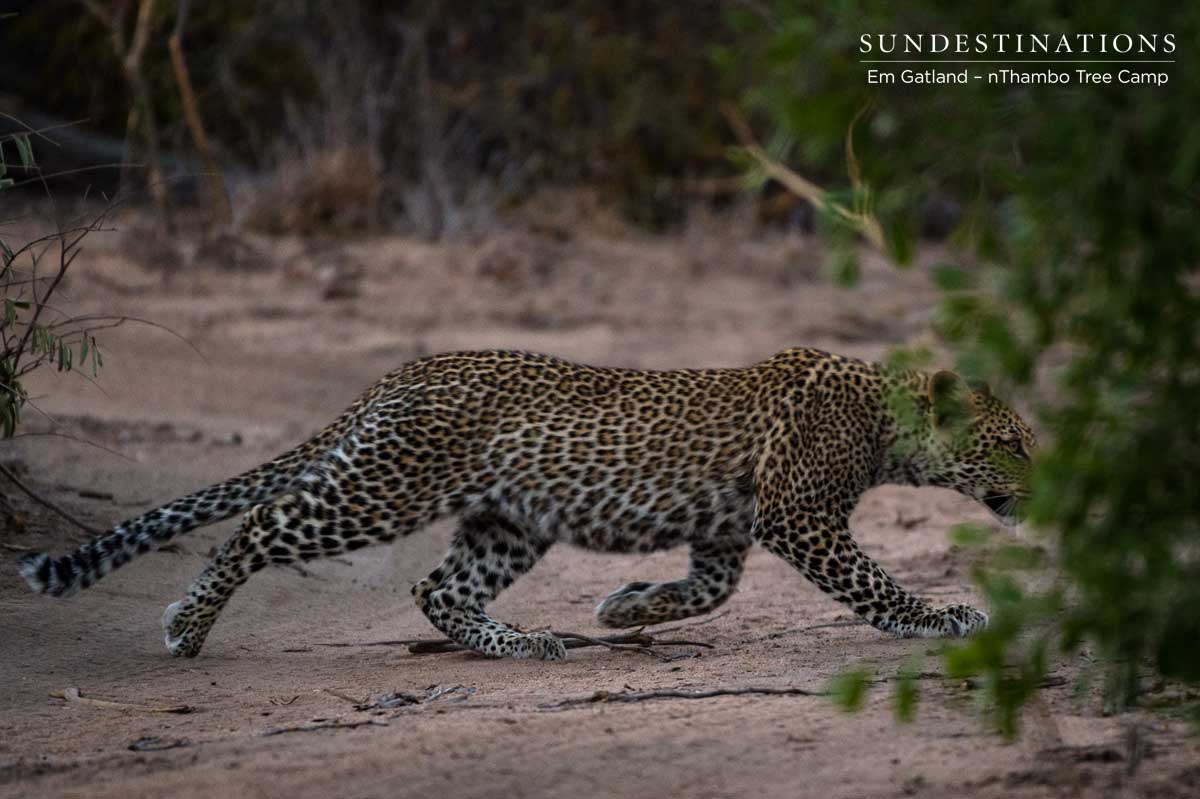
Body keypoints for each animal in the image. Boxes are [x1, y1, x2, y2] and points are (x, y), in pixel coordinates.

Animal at [16, 345, 1032, 657]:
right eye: (1013, 441)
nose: (1036, 488)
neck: (887, 419)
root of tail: (407, 369)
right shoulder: (800, 517)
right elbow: (874, 583)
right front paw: (944, 616)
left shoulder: (728, 529)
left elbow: (711, 588)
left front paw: (624, 608)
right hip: (382, 487)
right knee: (260, 525)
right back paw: (186, 626)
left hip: (507, 520)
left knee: (439, 589)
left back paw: (524, 641)